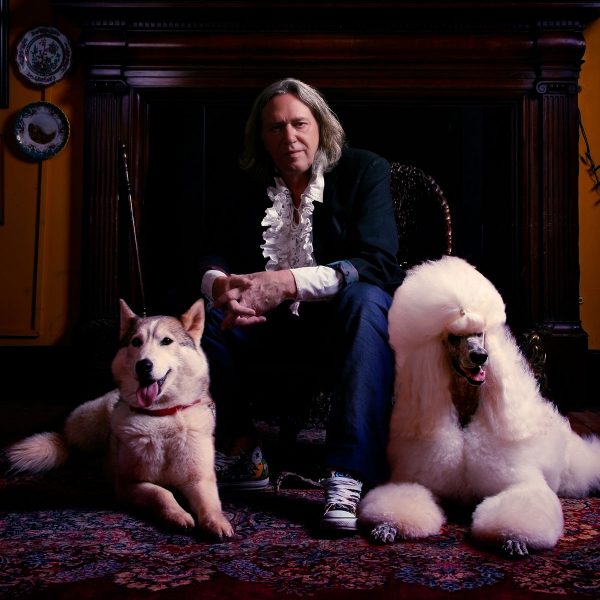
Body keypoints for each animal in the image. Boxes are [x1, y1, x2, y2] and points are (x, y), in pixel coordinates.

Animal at [6, 300, 234, 540]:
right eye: (136, 342)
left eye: (167, 341)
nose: (143, 365)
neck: (160, 417)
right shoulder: (129, 484)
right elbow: (162, 493)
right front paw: (177, 514)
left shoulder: (199, 479)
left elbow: (210, 503)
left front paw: (216, 522)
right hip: (92, 427)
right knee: (75, 450)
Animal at [356, 255, 600, 556]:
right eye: (453, 337)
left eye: (480, 334)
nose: (480, 356)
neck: (464, 411)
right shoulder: (417, 478)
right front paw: (388, 525)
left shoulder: (520, 481)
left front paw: (514, 537)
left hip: (570, 466)